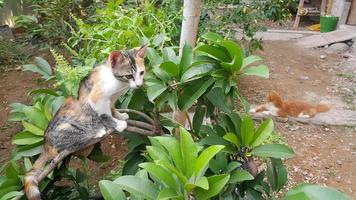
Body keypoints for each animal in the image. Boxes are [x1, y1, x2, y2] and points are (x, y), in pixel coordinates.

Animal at [23, 45, 147, 200]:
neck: (117, 84)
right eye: (128, 75)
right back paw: (97, 131)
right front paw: (117, 124)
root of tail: (45, 143)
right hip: (66, 129)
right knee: (67, 144)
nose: (139, 85)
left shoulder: (111, 100)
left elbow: (112, 109)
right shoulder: (97, 99)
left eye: (142, 72)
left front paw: (120, 115)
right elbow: (105, 114)